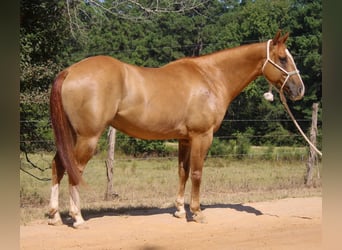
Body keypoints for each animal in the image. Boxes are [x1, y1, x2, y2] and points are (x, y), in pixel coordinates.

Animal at [48, 30, 304, 228]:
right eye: (283, 58)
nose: (299, 89)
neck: (211, 77)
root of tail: (70, 71)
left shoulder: (185, 139)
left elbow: (183, 172)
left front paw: (180, 210)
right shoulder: (202, 136)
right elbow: (198, 173)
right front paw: (197, 212)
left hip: (72, 136)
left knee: (58, 165)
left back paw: (54, 217)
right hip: (88, 137)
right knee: (74, 169)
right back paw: (77, 218)